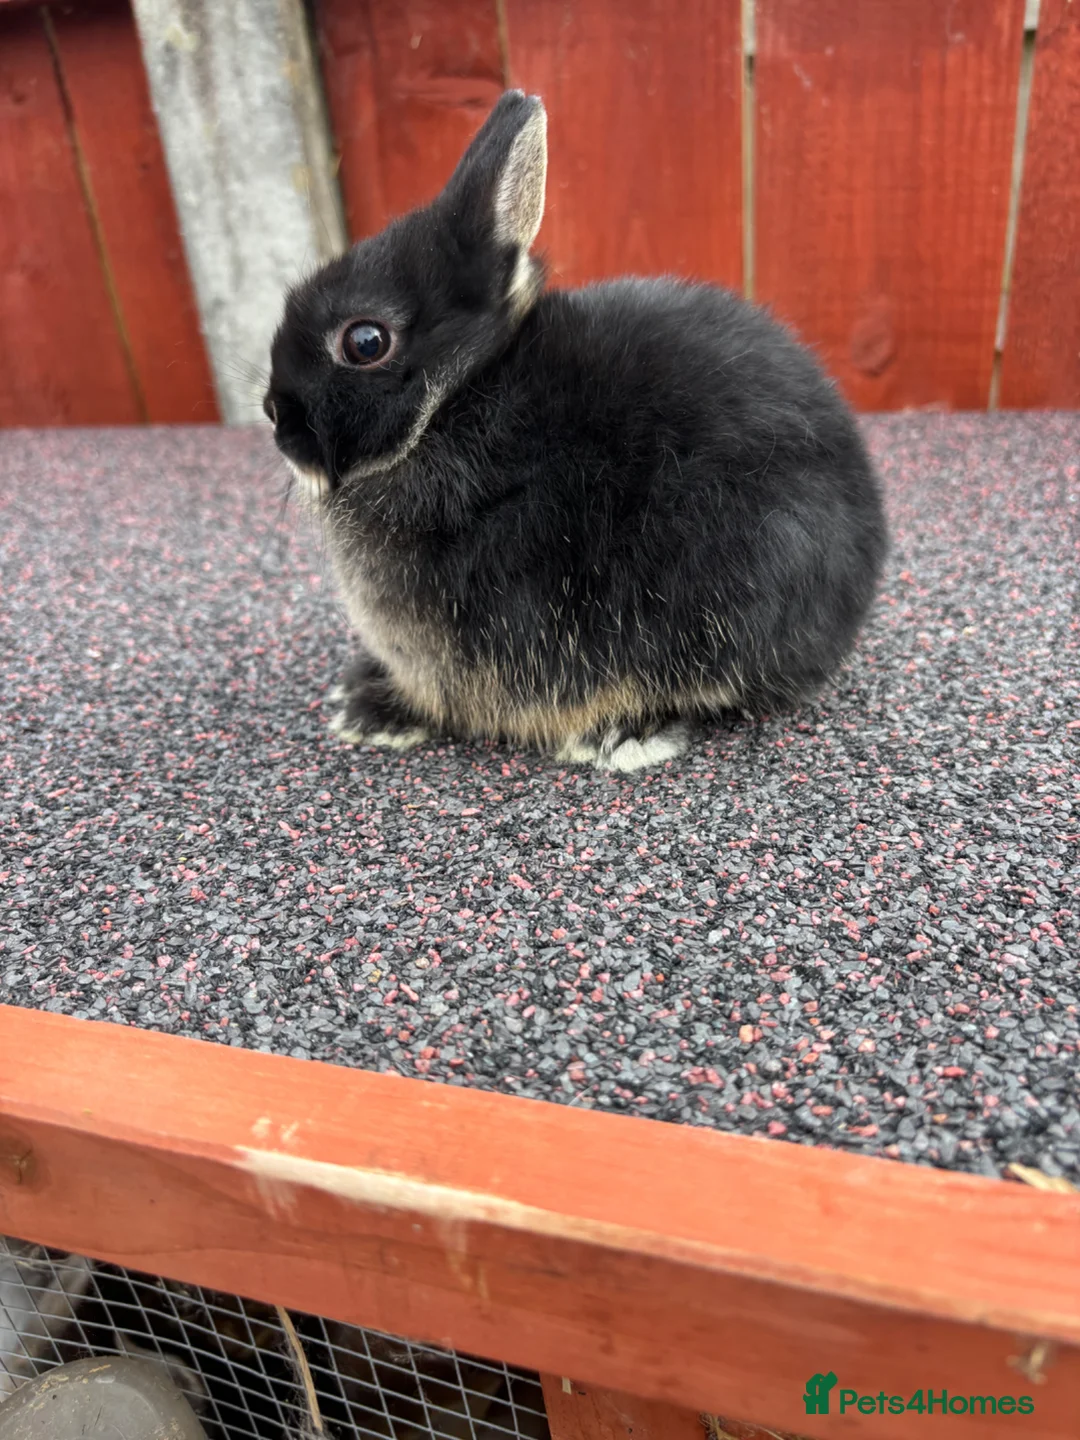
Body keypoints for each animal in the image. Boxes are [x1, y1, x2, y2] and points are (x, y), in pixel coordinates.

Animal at [265, 91, 887, 773]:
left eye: (365, 342)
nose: (275, 417)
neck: (454, 401)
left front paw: (378, 713)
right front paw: (362, 699)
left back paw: (621, 735)